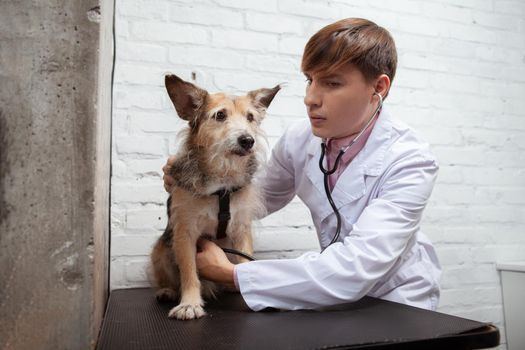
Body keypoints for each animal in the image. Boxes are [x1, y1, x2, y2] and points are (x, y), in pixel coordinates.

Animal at [148, 74, 278, 320]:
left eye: (250, 117)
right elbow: (189, 271)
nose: (248, 140)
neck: (223, 177)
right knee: (167, 277)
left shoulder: (241, 229)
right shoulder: (185, 233)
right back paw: (167, 290)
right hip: (160, 251)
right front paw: (189, 303)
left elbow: (244, 261)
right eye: (220, 115)